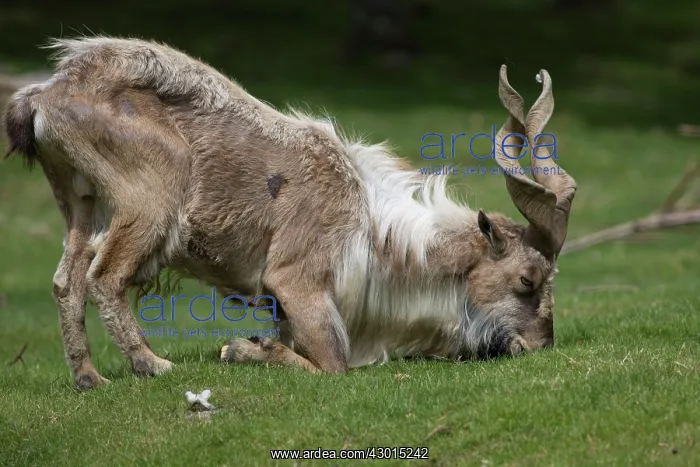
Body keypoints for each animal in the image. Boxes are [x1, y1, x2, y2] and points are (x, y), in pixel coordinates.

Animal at [3, 37, 576, 390]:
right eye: (527, 279)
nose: (537, 347)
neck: (374, 227)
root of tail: (44, 97)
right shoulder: (299, 282)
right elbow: (333, 365)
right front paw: (242, 349)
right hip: (149, 199)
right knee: (105, 276)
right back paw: (152, 364)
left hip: (80, 204)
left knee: (67, 280)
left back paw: (89, 378)